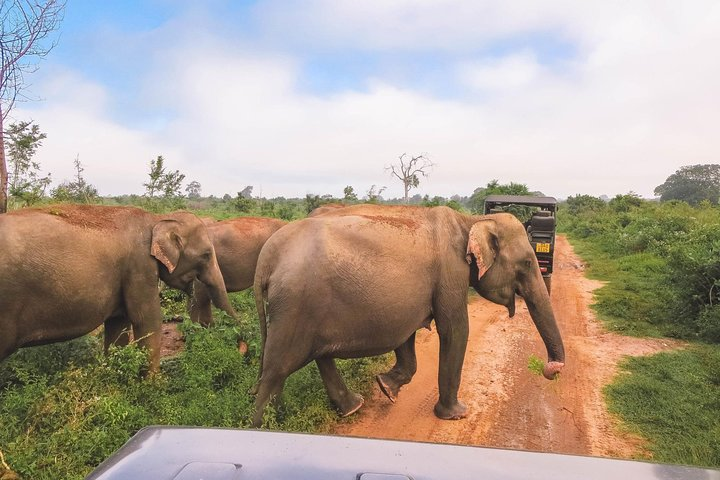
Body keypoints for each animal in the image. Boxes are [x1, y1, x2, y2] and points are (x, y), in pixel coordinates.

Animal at [0, 202, 235, 372]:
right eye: (206, 255)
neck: (157, 219)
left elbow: (118, 323)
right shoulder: (139, 266)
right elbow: (147, 321)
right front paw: (153, 388)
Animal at [250, 204, 564, 426]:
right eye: (527, 262)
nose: (551, 370)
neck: (470, 220)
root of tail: (266, 258)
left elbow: (407, 336)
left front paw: (386, 387)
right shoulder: (450, 272)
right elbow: (455, 330)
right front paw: (456, 415)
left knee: (314, 357)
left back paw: (346, 409)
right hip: (293, 305)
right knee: (275, 371)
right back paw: (262, 427)